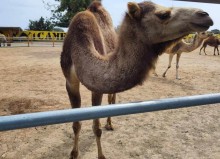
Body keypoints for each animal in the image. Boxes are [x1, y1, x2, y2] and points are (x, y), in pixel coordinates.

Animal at [60, 1, 213, 159]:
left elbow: (96, 127)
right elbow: (76, 124)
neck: (78, 45)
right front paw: (74, 153)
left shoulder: (96, 87)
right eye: (163, 14)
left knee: (112, 99)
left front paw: (101, 155)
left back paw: (110, 124)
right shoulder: (70, 81)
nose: (204, 15)